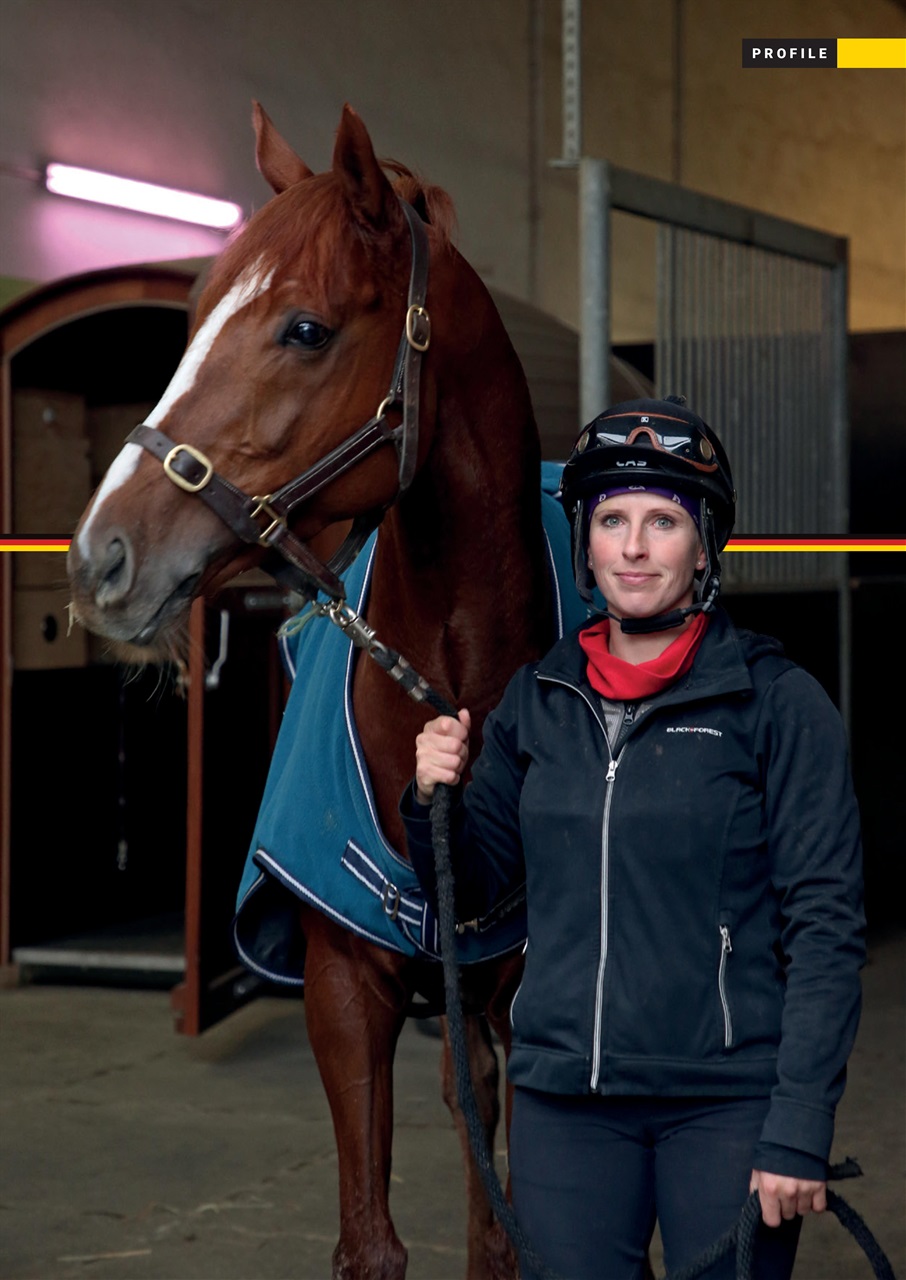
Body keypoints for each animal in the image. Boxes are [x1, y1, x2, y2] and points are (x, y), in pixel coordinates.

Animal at [68, 103, 574, 1280]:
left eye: (304, 329)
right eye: (191, 318)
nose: (101, 556)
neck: (448, 692)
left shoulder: (529, 1008)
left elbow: (510, 1237)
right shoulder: (344, 991)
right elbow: (370, 1242)